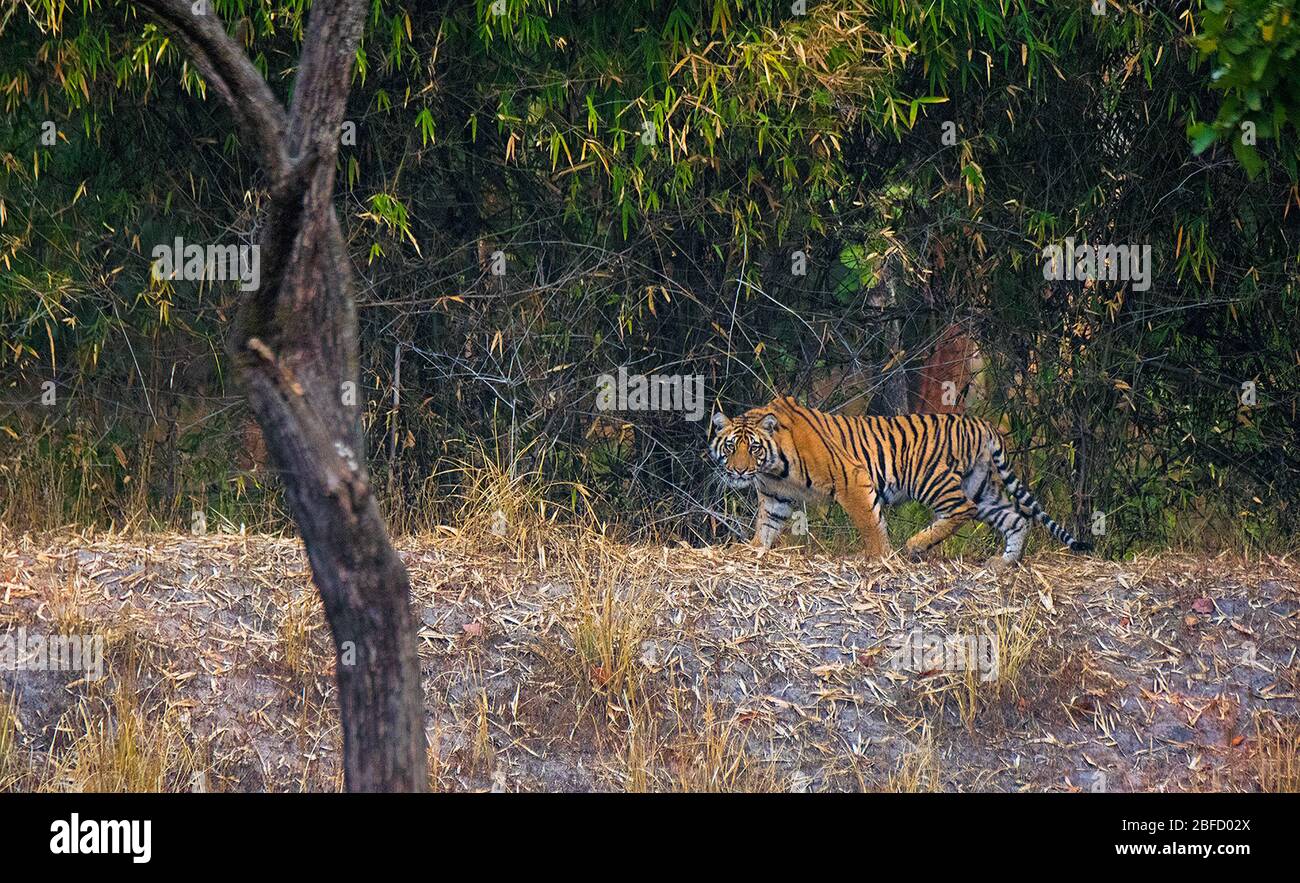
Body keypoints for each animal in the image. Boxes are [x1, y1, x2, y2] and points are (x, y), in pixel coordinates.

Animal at [707, 397, 1092, 569]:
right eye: (731, 447)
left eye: (753, 448)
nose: (739, 471)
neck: (773, 466)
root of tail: (983, 424)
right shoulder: (775, 497)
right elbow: (765, 526)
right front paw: (752, 549)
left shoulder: (853, 481)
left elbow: (870, 523)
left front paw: (879, 558)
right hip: (982, 487)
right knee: (1016, 518)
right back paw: (1003, 563)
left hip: (933, 479)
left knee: (961, 510)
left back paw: (916, 545)